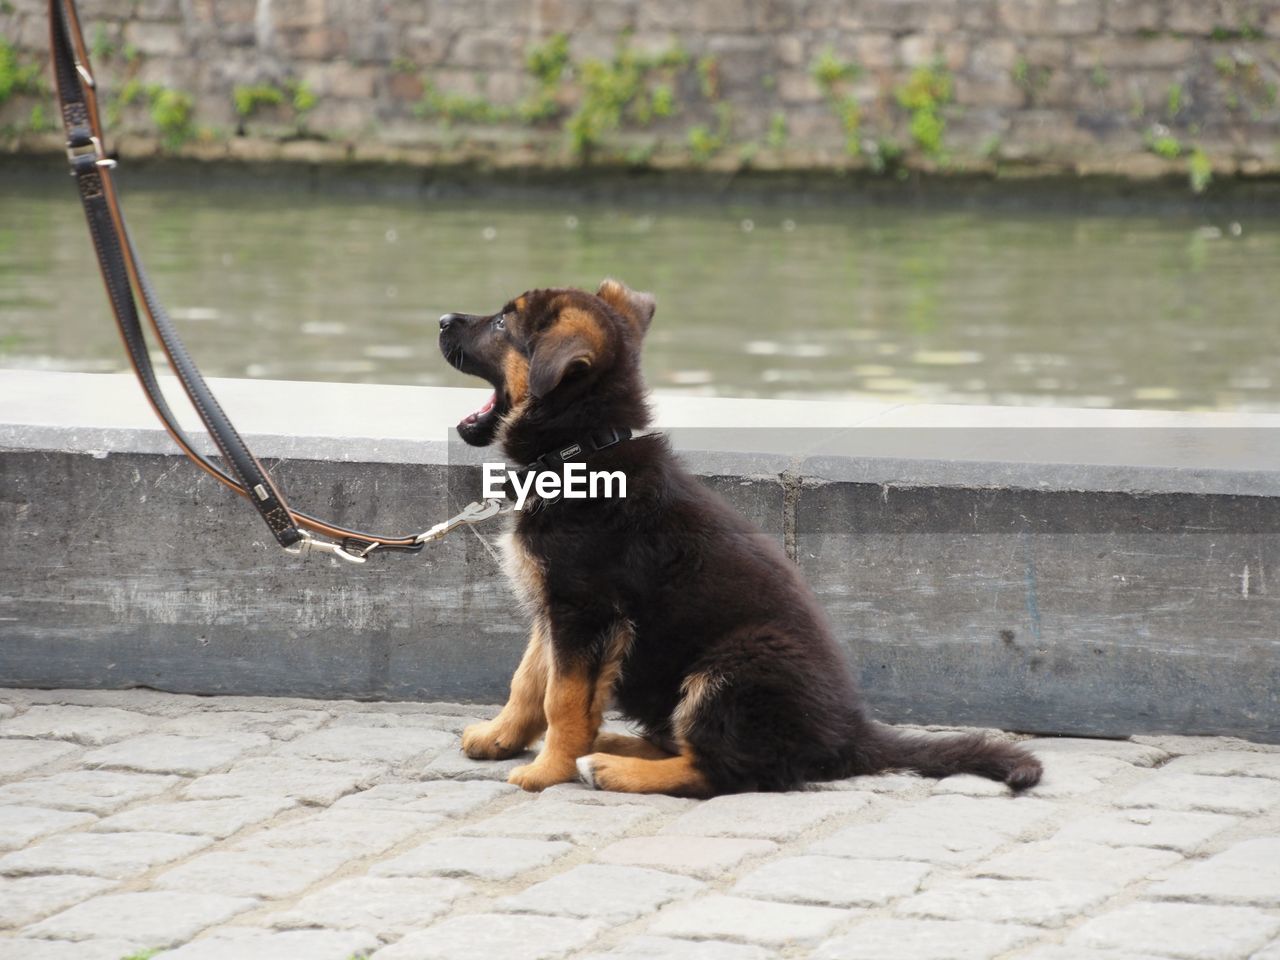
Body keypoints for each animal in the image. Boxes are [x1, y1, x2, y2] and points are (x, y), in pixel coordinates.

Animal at [437, 280, 1039, 798]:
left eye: (501, 324)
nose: (442, 319)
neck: (582, 451)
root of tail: (851, 737)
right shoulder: (556, 610)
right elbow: (530, 680)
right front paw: (501, 737)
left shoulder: (584, 610)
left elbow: (561, 699)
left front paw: (546, 770)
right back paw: (611, 744)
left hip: (733, 666)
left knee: (726, 771)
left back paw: (611, 766)